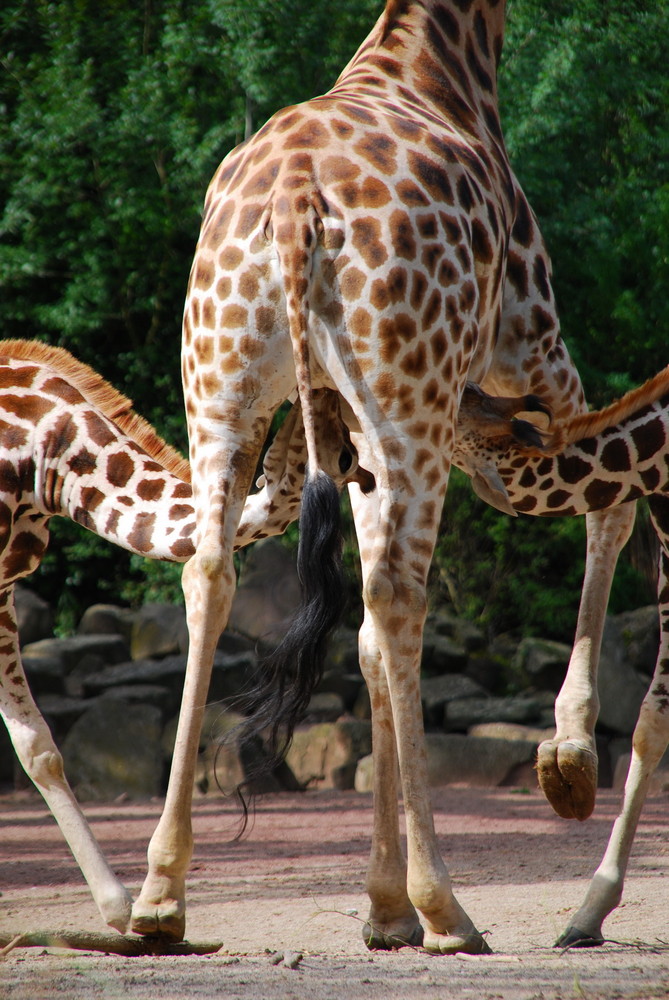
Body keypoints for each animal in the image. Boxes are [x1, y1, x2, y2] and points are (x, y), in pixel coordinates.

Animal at [133, 0, 636, 952]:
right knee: (400, 596)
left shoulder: (354, 435)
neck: (438, 62)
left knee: (211, 575)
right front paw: (567, 764)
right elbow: (610, 503)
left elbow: (361, 645)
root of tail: (294, 205)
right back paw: (448, 906)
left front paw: (381, 906)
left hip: (221, 391)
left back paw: (160, 897)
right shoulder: (531, 350)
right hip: (411, 402)